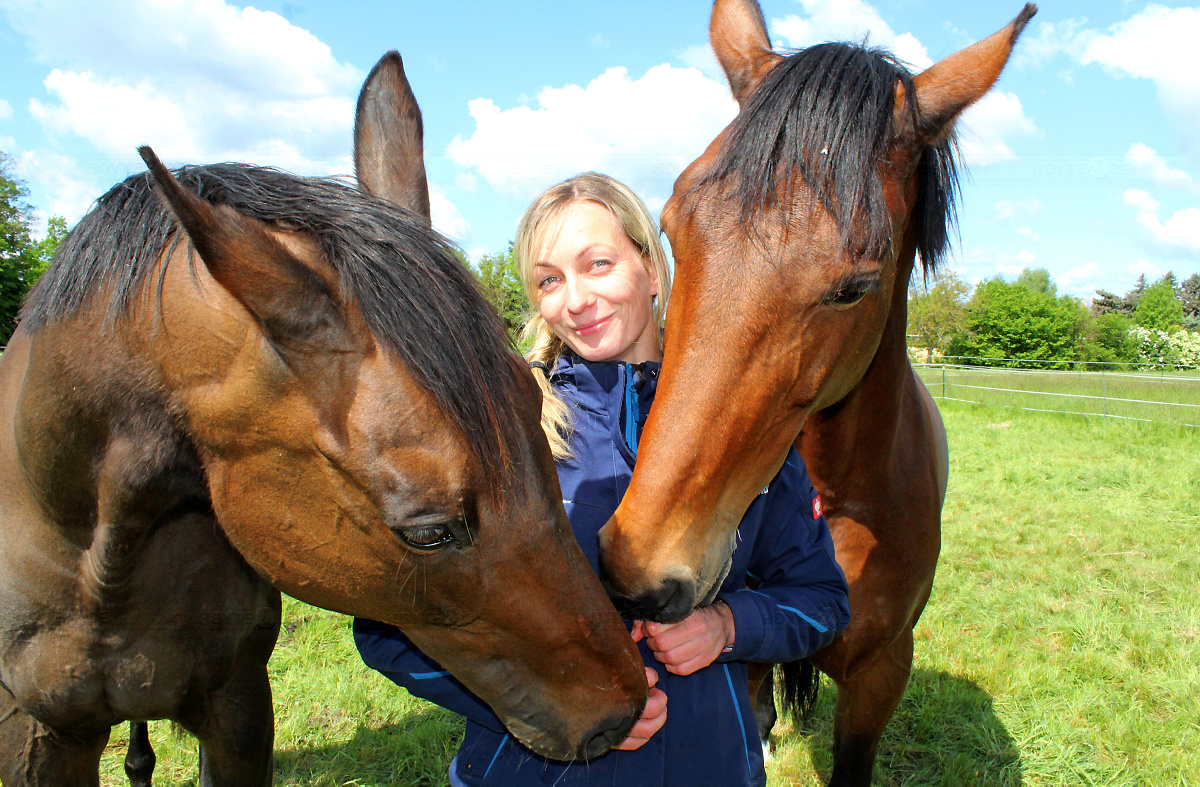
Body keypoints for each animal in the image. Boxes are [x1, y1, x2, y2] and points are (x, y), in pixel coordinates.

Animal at [604, 3, 1036, 782]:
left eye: (856, 285)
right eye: (673, 225)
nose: (639, 569)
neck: (835, 497)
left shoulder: (881, 674)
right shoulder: (742, 654)